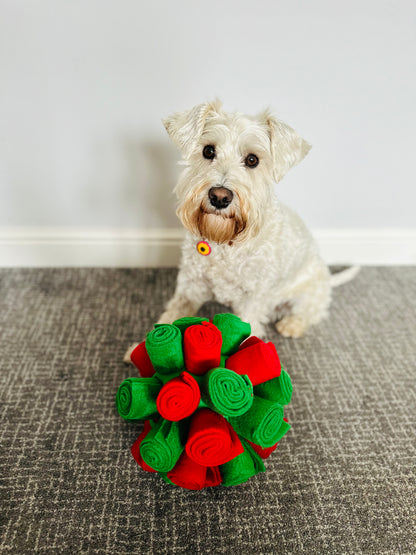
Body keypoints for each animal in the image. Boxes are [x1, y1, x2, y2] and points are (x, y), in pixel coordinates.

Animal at [123, 100, 358, 360]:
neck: (225, 244)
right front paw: (141, 351)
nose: (219, 197)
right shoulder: (189, 288)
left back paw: (292, 324)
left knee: (312, 311)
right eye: (208, 151)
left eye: (253, 159)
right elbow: (169, 318)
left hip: (308, 292)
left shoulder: (252, 301)